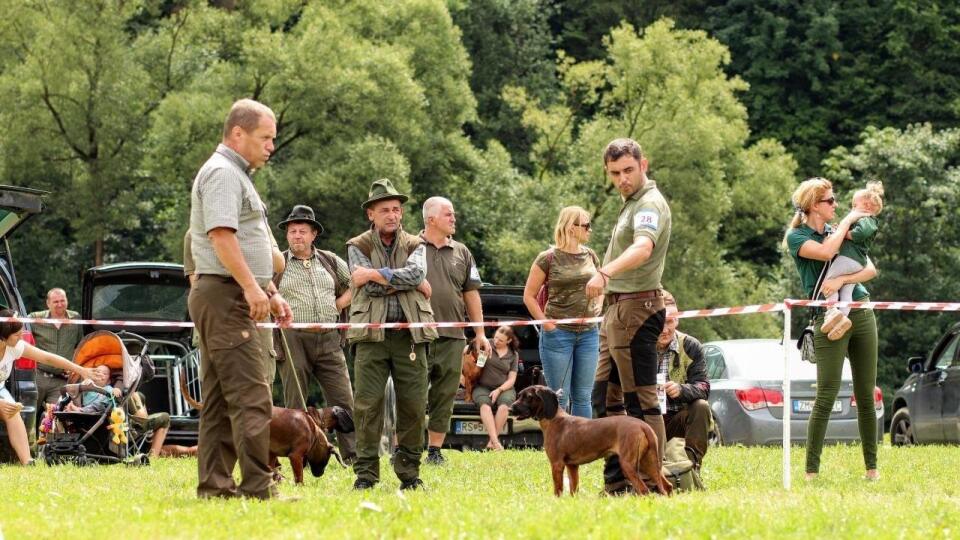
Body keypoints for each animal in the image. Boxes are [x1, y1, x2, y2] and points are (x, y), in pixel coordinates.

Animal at [510, 384, 676, 498]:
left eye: (528, 397)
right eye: (519, 395)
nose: (510, 409)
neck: (554, 419)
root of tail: (643, 425)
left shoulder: (557, 464)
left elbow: (558, 490)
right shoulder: (572, 466)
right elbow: (574, 490)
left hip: (629, 464)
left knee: (644, 490)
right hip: (649, 463)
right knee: (667, 486)